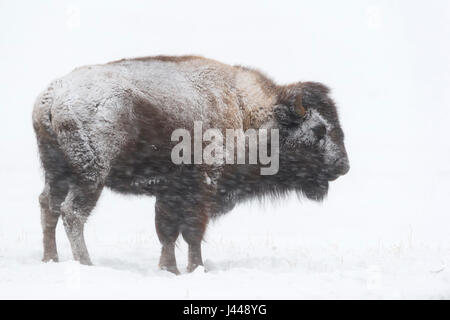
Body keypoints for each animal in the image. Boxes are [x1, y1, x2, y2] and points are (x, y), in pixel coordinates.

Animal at [33, 54, 350, 272]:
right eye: (319, 130)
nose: (343, 166)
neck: (248, 113)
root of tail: (52, 97)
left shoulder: (169, 193)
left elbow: (167, 233)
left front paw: (169, 269)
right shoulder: (201, 190)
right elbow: (192, 233)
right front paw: (196, 269)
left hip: (56, 171)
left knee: (49, 205)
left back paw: (51, 259)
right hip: (91, 177)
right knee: (72, 213)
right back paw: (86, 263)